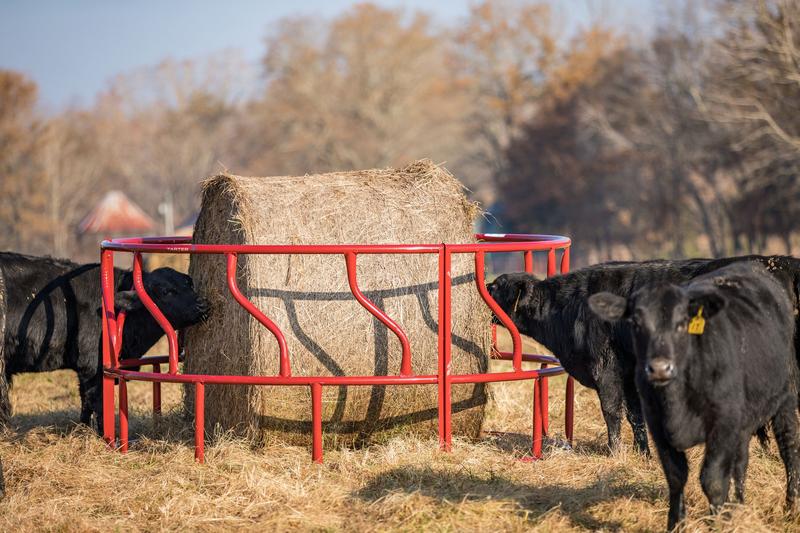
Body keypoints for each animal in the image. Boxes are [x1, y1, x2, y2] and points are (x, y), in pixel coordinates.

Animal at [0, 251, 208, 431]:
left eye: (189, 283)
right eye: (166, 291)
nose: (202, 304)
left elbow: (86, 403)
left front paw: (83, 430)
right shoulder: (92, 366)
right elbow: (96, 402)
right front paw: (99, 434)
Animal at [487, 255, 800, 455]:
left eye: (495, 286)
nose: (482, 288)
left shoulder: (606, 367)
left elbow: (612, 411)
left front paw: (615, 453)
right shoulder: (630, 372)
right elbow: (635, 415)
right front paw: (642, 453)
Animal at [588, 262, 800, 530]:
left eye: (681, 323)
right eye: (636, 323)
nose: (659, 368)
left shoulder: (722, 424)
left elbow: (713, 480)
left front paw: (717, 524)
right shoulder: (658, 426)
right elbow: (676, 476)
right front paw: (676, 525)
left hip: (785, 397)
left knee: (789, 447)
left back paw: (791, 508)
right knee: (741, 462)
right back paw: (738, 508)